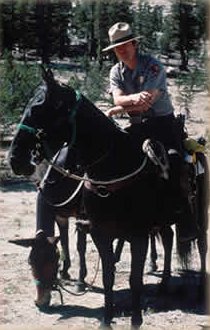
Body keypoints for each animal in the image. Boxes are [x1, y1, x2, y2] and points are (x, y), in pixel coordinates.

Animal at [8, 68, 208, 326]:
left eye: (39, 109)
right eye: (30, 262)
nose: (15, 159)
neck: (112, 167)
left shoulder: (136, 235)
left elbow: (132, 278)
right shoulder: (90, 227)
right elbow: (101, 270)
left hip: (199, 214)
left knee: (201, 245)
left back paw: (200, 289)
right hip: (163, 220)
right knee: (168, 237)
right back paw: (163, 284)